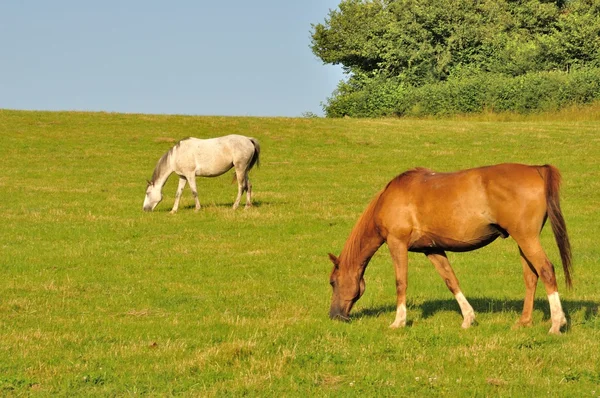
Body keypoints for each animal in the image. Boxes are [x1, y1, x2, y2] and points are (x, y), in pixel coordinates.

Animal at [330, 163, 576, 334]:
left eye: (333, 282)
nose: (334, 316)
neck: (390, 197)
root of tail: (537, 169)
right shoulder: (432, 249)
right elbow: (451, 280)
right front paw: (468, 318)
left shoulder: (396, 243)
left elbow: (401, 282)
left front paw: (398, 321)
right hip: (523, 242)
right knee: (531, 277)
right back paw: (524, 321)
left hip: (526, 238)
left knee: (546, 270)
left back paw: (557, 323)